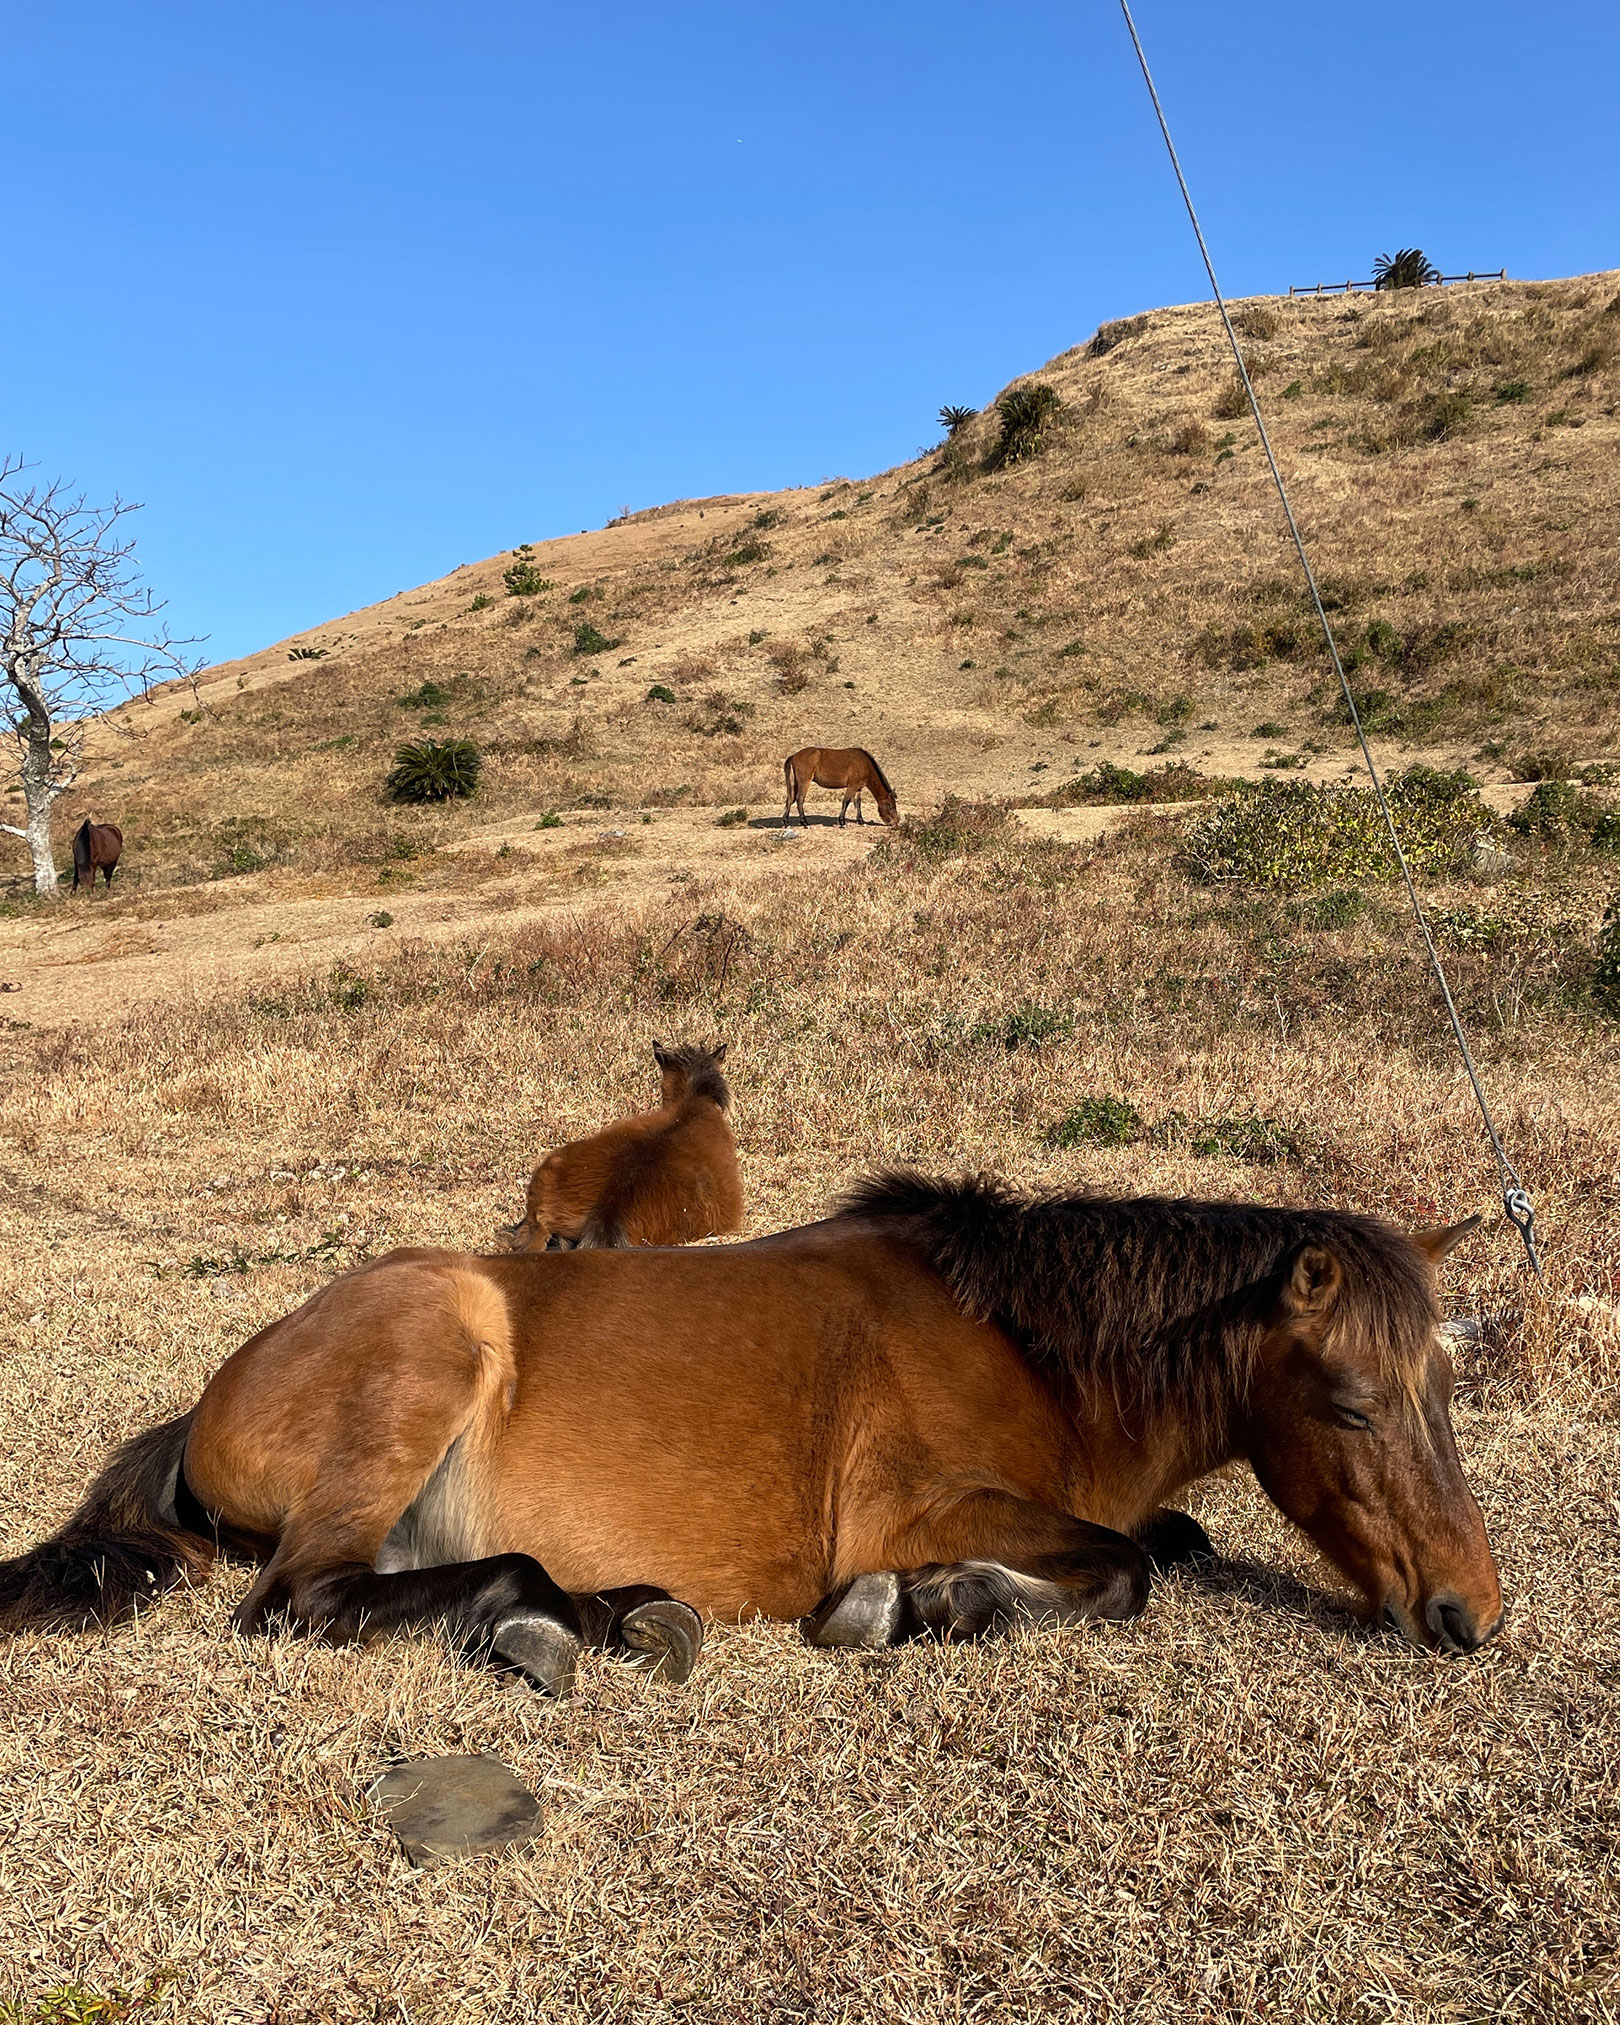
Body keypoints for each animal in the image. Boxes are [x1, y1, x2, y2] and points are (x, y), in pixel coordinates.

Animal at [0, 1174, 1506, 1692]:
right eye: (1354, 1405)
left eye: (1451, 1390)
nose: (1470, 1613)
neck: (1026, 1341)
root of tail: (213, 1393)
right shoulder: (917, 1508)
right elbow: (1125, 1568)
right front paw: (933, 1606)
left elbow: (1166, 1541)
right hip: (430, 1354)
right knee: (301, 1601)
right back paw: (571, 1616)